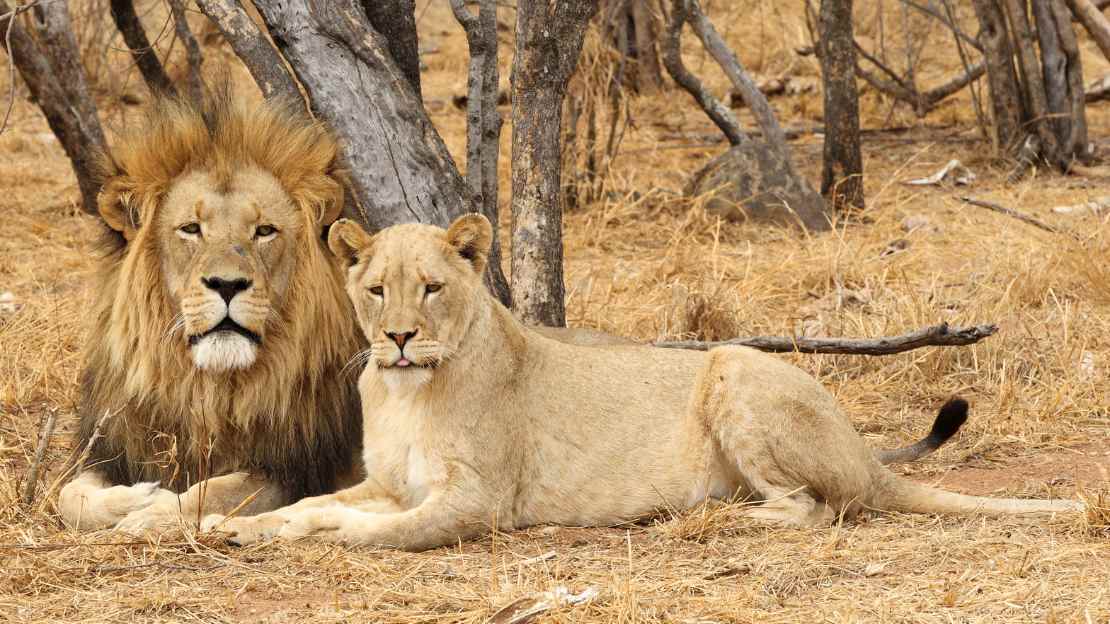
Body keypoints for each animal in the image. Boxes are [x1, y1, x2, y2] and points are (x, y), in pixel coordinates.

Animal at [57, 89, 366, 531]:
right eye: (191, 228)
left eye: (264, 231)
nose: (227, 284)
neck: (208, 389)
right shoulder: (116, 448)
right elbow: (71, 495)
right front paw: (134, 499)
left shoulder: (290, 471)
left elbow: (212, 491)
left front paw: (149, 513)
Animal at [201, 214, 1080, 550]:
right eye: (377, 289)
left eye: (432, 288)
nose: (399, 338)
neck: (408, 390)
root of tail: (863, 450)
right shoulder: (390, 483)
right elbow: (313, 502)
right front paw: (237, 526)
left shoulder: (477, 501)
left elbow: (368, 529)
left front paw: (317, 536)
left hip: (731, 363)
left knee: (813, 508)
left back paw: (706, 516)